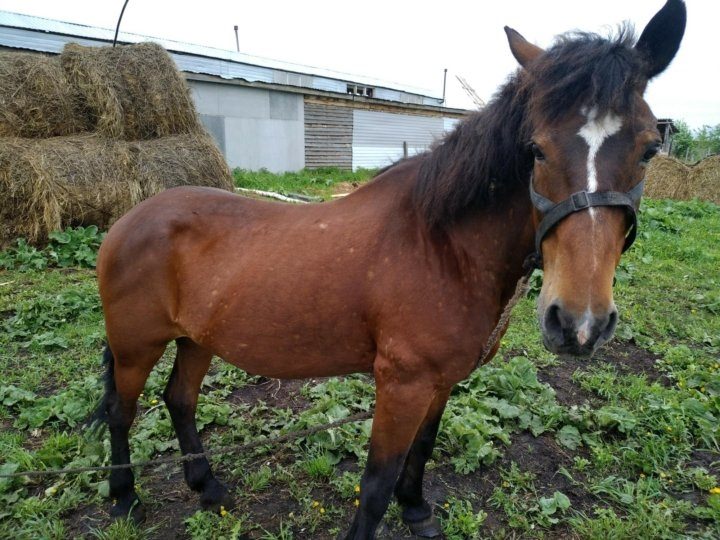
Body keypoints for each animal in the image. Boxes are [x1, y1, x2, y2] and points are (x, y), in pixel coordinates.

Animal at [95, 2, 688, 536]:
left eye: (648, 149)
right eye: (535, 149)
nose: (578, 325)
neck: (442, 245)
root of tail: (129, 219)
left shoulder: (440, 382)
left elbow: (420, 451)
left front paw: (417, 511)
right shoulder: (401, 384)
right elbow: (376, 482)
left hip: (197, 338)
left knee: (179, 400)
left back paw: (207, 486)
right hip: (136, 345)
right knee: (123, 412)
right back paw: (124, 498)